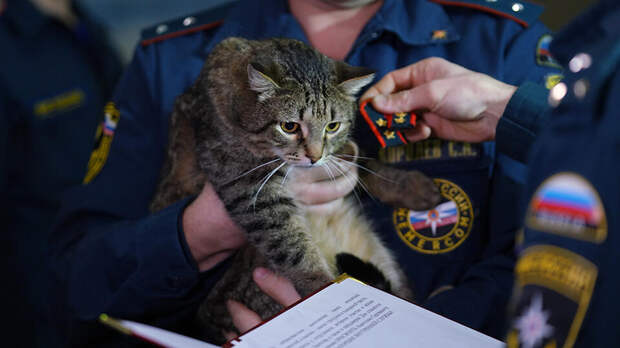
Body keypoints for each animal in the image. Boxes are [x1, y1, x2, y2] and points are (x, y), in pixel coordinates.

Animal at [150, 37, 440, 342]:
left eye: (332, 126)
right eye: (289, 126)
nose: (314, 156)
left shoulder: (340, 152)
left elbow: (363, 162)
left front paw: (409, 185)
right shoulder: (249, 187)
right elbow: (292, 245)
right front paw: (324, 288)